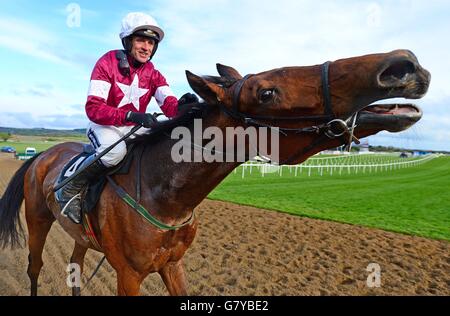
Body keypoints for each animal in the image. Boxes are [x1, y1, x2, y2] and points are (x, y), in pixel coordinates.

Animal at [0, 48, 428, 296]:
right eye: (266, 92)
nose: (404, 64)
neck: (164, 195)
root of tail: (41, 156)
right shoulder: (129, 274)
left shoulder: (172, 265)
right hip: (38, 221)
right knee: (35, 267)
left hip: (82, 237)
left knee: (74, 265)